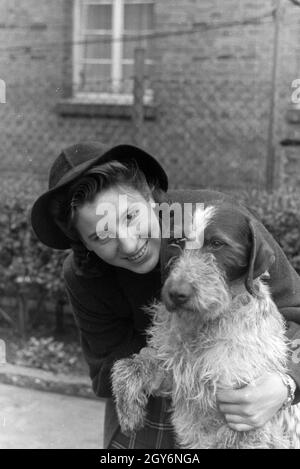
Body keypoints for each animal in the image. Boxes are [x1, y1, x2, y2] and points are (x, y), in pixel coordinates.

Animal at [111, 203, 300, 448]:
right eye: (176, 241)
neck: (204, 324)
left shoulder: (246, 421)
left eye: (217, 243)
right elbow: (126, 366)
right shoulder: (173, 372)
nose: (176, 293)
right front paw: (129, 413)